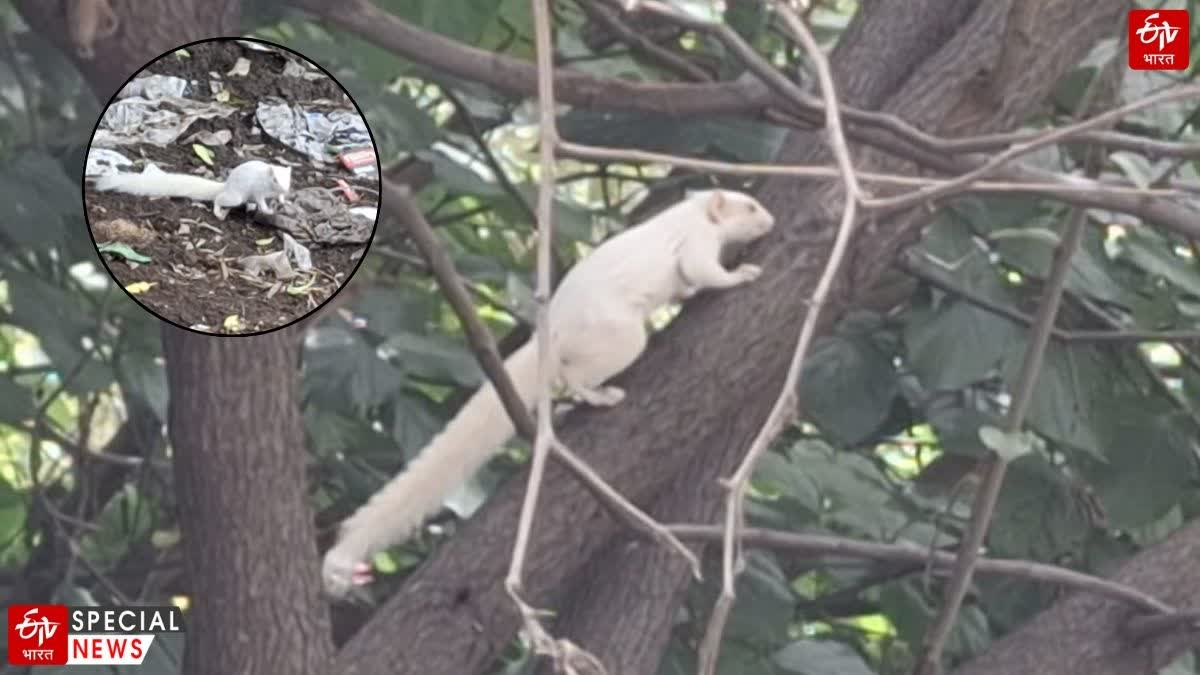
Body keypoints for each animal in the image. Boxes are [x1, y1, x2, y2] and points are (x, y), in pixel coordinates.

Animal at [90, 158, 291, 219]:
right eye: (274, 179)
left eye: (289, 180)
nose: (284, 189)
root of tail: (226, 184)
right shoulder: (259, 190)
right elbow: (261, 200)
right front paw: (268, 210)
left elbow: (278, 199)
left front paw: (283, 202)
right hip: (235, 197)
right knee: (219, 199)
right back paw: (219, 213)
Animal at [324, 187, 772, 593]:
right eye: (750, 206)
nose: (770, 222)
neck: (695, 211)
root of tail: (550, 331)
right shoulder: (697, 240)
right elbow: (703, 272)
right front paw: (743, 274)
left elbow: (687, 284)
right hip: (620, 340)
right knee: (574, 376)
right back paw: (599, 397)